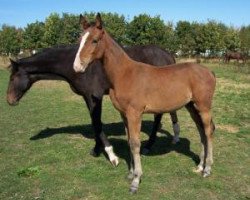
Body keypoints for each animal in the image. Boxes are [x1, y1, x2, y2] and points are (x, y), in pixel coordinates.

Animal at [73, 13, 216, 193]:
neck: (124, 74)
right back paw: (200, 166)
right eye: (79, 40)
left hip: (204, 107)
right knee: (201, 131)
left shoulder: (135, 113)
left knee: (208, 131)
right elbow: (129, 141)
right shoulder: (124, 114)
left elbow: (135, 143)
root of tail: (209, 72)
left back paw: (208, 169)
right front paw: (130, 173)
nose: (77, 67)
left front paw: (136, 180)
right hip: (191, 106)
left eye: (94, 40)